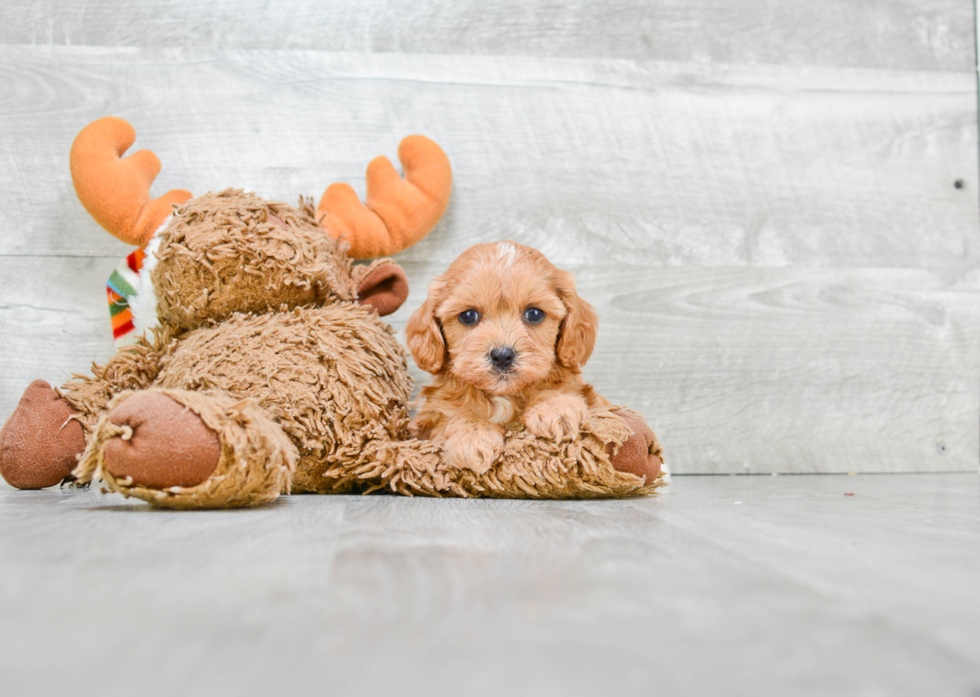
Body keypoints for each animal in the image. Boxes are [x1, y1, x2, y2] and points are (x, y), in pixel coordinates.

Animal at [408, 241, 612, 474]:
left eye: (534, 314)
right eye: (468, 316)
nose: (502, 355)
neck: (503, 396)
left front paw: (555, 406)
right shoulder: (429, 418)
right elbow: (453, 415)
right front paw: (472, 436)